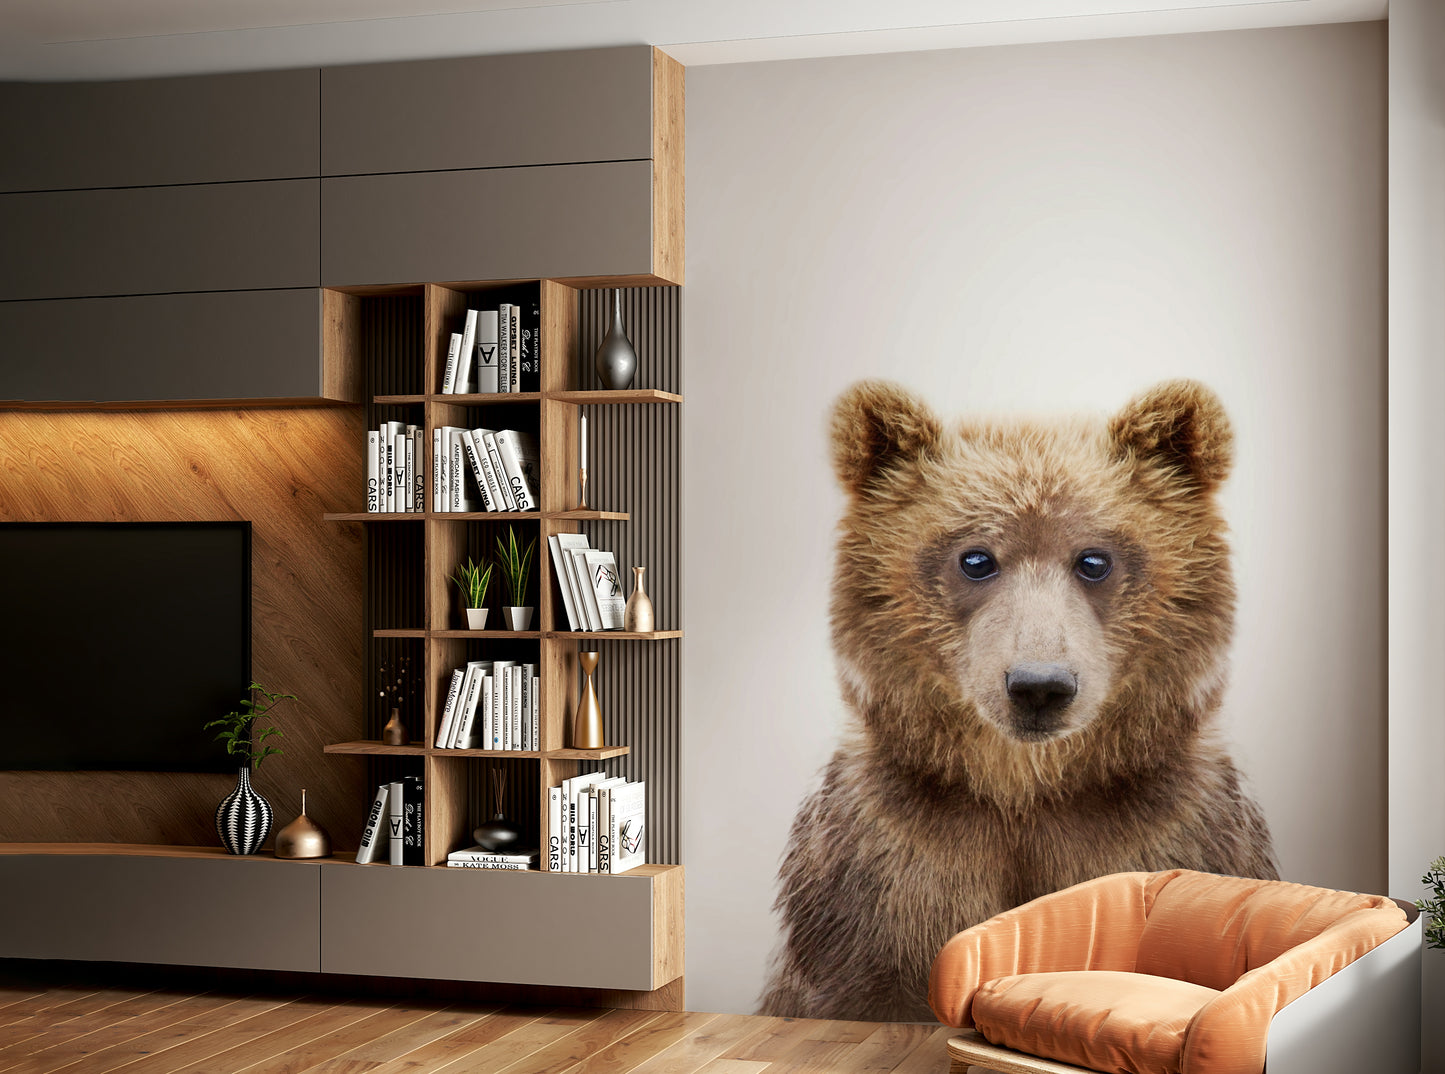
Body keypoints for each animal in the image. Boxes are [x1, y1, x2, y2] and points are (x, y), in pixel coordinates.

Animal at [757, 379, 1279, 1023]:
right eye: (976, 558)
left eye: (1094, 559)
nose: (1039, 686)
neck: (1027, 791)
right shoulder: (882, 872)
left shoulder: (1176, 827)